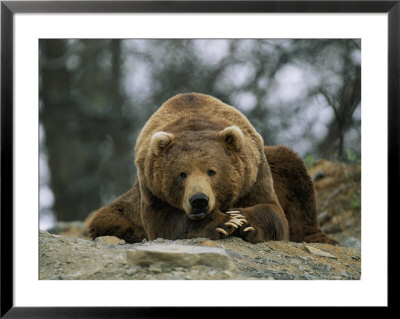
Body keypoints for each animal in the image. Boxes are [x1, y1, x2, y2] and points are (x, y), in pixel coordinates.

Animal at [89, 92, 336, 245]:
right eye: (182, 174)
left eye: (212, 171)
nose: (199, 200)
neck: (194, 120)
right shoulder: (151, 187)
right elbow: (162, 222)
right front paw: (222, 222)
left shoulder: (254, 174)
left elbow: (273, 212)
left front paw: (244, 220)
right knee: (108, 219)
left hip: (279, 165)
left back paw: (319, 237)